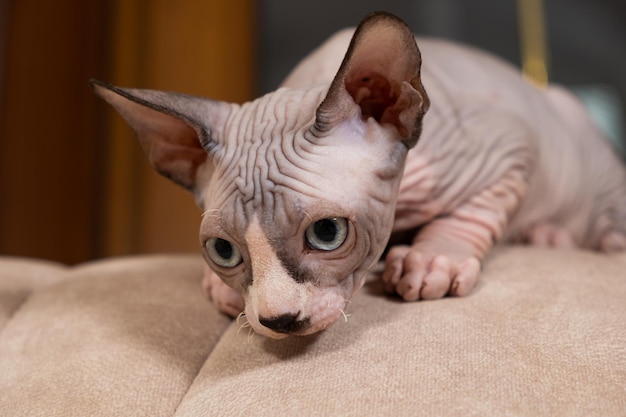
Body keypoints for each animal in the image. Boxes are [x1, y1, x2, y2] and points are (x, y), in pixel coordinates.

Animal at [91, 12, 624, 338]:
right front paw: (222, 288)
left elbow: (472, 214)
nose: (279, 320)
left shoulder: (510, 150)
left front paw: (435, 260)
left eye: (328, 233)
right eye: (224, 251)